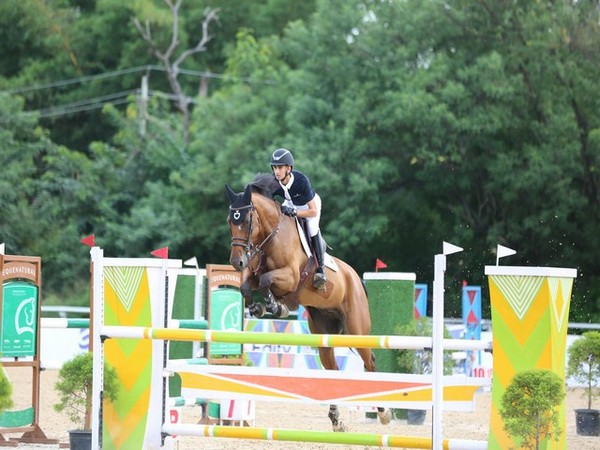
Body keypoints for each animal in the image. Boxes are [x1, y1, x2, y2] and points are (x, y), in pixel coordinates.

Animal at [226, 174, 394, 430]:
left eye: (246, 221)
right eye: (230, 221)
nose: (237, 262)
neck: (271, 236)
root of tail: (355, 277)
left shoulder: (290, 277)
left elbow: (266, 281)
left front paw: (276, 306)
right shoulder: (256, 274)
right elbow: (248, 286)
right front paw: (260, 307)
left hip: (357, 329)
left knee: (370, 362)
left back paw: (383, 413)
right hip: (323, 331)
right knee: (332, 368)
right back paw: (336, 419)